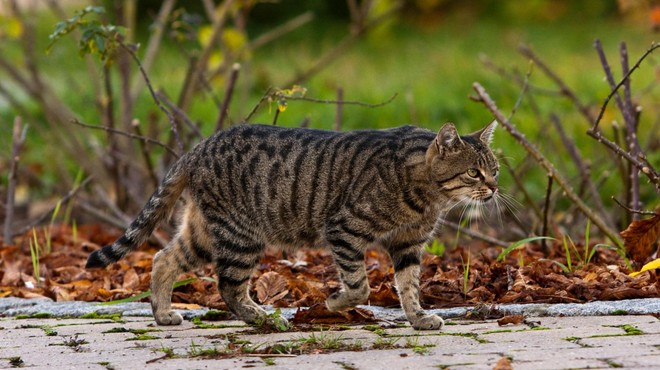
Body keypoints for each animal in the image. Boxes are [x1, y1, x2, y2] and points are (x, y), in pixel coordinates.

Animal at [89, 120, 500, 330]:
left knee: (163, 259)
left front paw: (417, 318)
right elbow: (359, 287)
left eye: (494, 169)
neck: (428, 194)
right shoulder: (344, 229)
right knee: (228, 287)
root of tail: (198, 147)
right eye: (473, 172)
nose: (495, 187)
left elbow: (409, 286)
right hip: (241, 235)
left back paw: (162, 313)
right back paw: (264, 320)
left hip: (203, 233)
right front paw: (333, 303)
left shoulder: (408, 245)